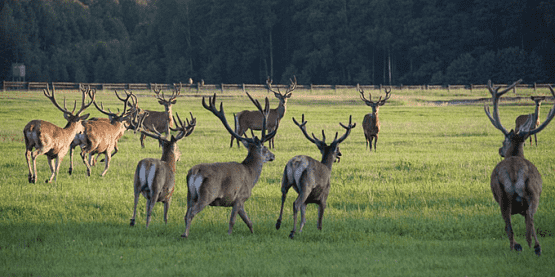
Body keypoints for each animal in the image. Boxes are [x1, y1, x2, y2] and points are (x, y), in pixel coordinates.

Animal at [182, 91, 278, 236]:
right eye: (265, 148)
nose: (273, 156)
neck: (251, 176)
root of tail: (193, 172)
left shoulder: (240, 202)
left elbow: (248, 221)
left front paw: (252, 233)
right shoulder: (239, 197)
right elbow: (232, 220)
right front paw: (229, 234)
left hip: (190, 194)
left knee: (186, 213)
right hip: (207, 194)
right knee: (191, 213)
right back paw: (185, 234)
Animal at [484, 78, 552, 256]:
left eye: (504, 141)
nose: (500, 150)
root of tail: (514, 171)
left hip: (503, 197)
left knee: (512, 225)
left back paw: (520, 246)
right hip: (531, 194)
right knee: (528, 220)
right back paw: (532, 247)